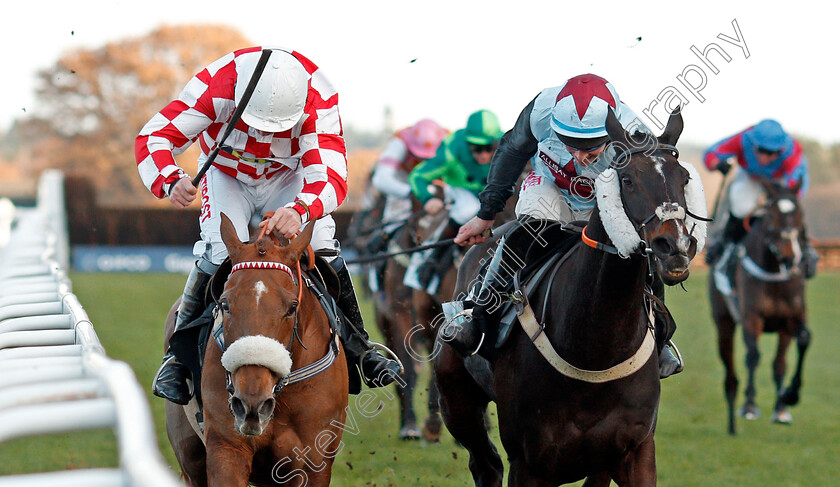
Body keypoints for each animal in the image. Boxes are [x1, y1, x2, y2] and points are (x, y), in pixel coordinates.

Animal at [164, 214, 348, 487]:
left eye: (292, 307)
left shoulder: (314, 461)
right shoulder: (227, 448)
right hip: (190, 455)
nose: (251, 403)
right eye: (225, 304)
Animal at [436, 110, 704, 487]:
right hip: (456, 403)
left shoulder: (633, 451)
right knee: (485, 464)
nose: (675, 246)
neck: (595, 349)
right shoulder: (529, 462)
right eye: (628, 180)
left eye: (684, 178)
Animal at [712, 178, 812, 434]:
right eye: (772, 216)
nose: (790, 256)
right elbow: (753, 356)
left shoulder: (791, 319)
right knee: (730, 369)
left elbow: (792, 352)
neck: (774, 272)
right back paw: (732, 421)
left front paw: (787, 400)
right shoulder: (751, 317)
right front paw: (749, 406)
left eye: (800, 214)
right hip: (723, 323)